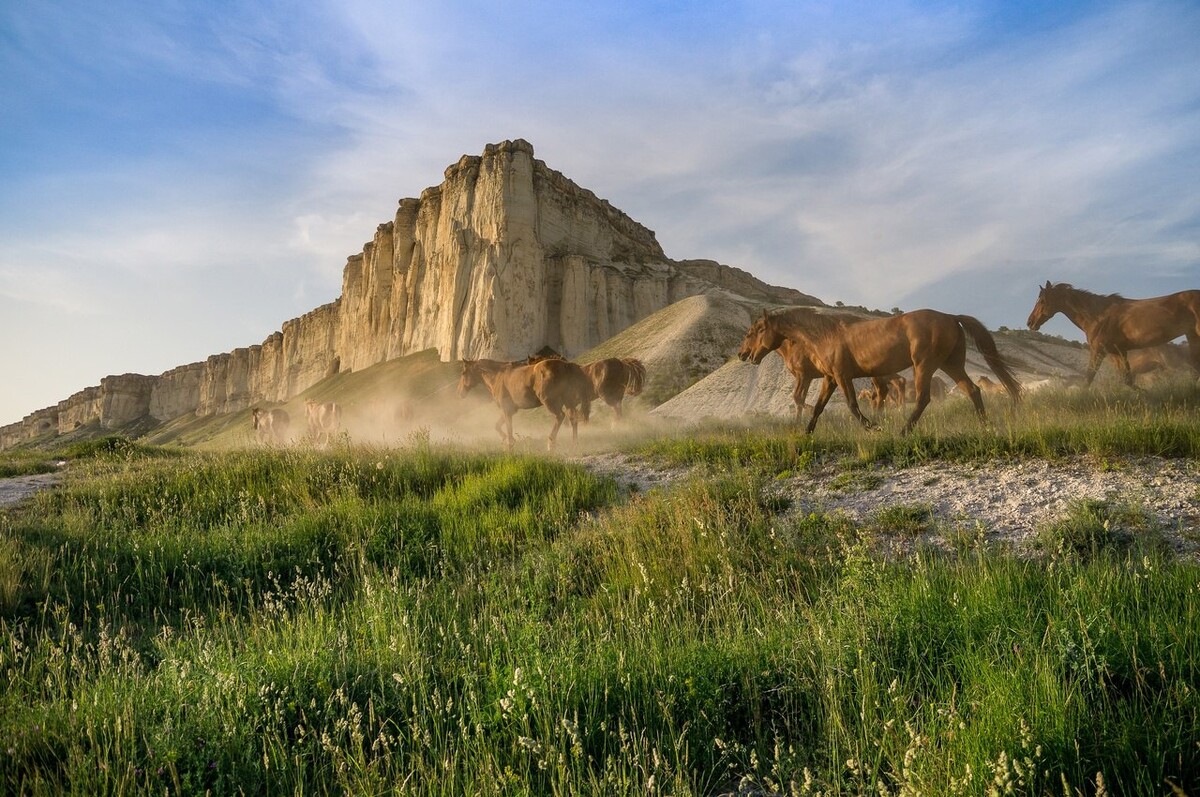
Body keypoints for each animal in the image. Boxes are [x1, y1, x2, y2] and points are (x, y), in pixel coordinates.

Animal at [456, 357, 592, 451]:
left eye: (463, 373)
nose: (460, 392)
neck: (498, 376)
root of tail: (565, 365)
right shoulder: (510, 410)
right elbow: (497, 426)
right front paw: (505, 440)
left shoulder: (506, 410)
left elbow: (508, 429)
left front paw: (509, 445)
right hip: (568, 402)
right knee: (573, 419)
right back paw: (574, 444)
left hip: (550, 402)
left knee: (560, 417)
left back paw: (551, 444)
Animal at [739, 306, 1022, 432]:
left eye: (755, 331)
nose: (744, 355)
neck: (825, 336)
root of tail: (952, 318)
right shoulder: (829, 378)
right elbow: (818, 407)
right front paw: (806, 433)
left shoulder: (842, 376)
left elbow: (853, 405)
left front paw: (872, 427)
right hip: (950, 365)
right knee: (973, 390)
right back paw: (985, 424)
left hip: (924, 366)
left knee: (923, 398)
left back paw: (904, 431)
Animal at [1022, 282, 1200, 386]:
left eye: (1042, 301)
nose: (1030, 322)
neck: (1097, 316)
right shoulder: (1117, 351)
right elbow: (1127, 379)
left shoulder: (1098, 350)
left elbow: (1088, 378)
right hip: (1192, 336)